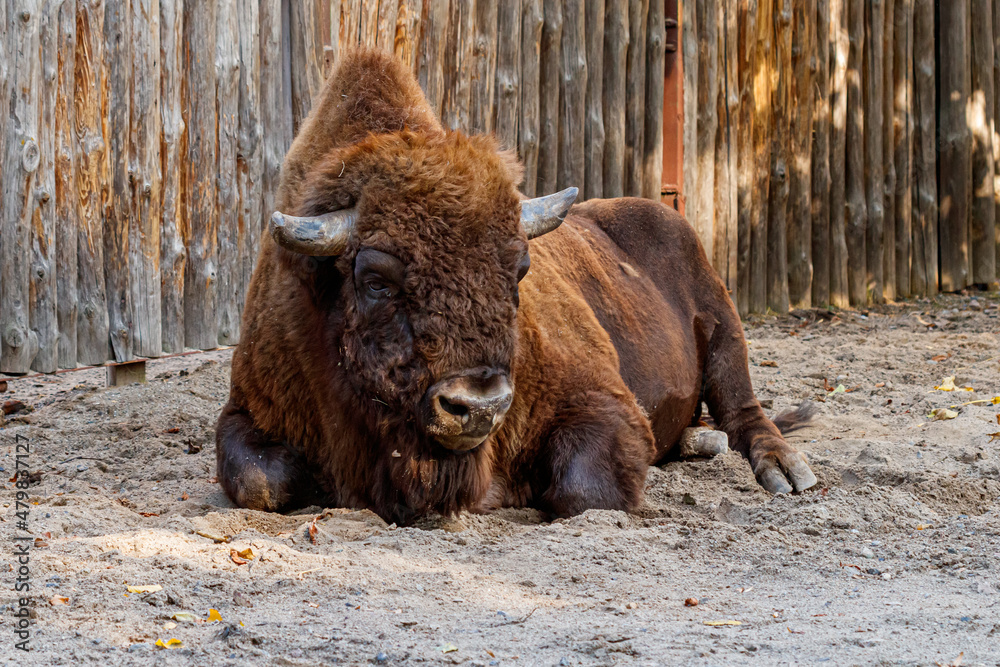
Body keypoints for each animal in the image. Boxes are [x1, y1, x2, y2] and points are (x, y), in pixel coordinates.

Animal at [216, 48, 817, 525]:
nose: (478, 405)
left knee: (745, 410)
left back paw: (786, 471)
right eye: (375, 280)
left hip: (724, 328)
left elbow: (584, 490)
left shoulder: (600, 403)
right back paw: (700, 441)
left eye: (520, 268)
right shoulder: (249, 408)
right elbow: (259, 481)